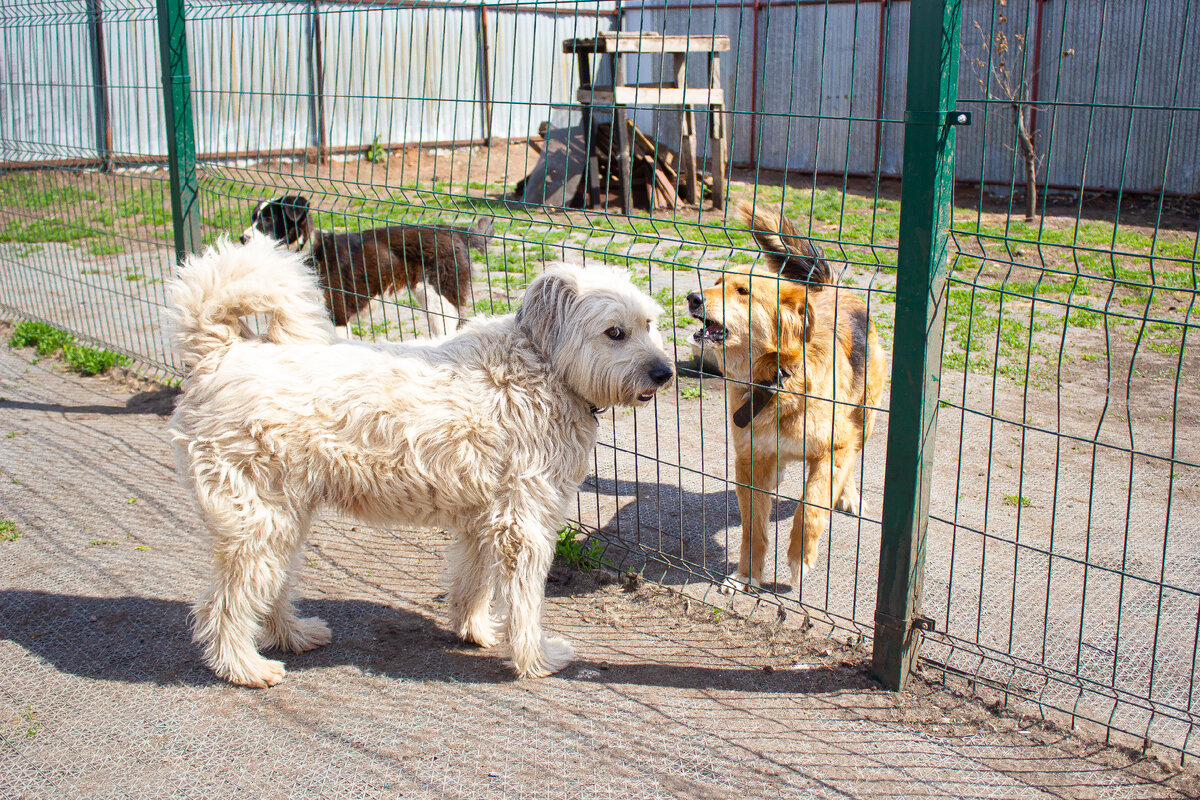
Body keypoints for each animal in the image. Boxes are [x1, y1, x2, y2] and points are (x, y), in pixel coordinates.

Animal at [169, 232, 676, 690]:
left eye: (650, 323)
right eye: (615, 332)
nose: (665, 373)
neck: (545, 366)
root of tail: (219, 352)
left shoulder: (484, 519)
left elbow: (473, 583)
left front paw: (475, 631)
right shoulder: (524, 522)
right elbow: (525, 601)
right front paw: (536, 659)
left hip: (283, 518)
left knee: (269, 587)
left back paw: (294, 635)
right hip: (256, 520)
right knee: (224, 604)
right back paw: (245, 668)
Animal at [243, 195, 492, 335]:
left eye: (268, 219)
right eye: (254, 217)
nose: (242, 238)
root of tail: (452, 229)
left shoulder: (337, 316)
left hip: (439, 298)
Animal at [686, 205, 892, 594]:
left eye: (743, 291)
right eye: (716, 283)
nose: (693, 297)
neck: (775, 381)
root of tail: (828, 288)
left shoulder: (833, 449)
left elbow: (810, 508)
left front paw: (799, 561)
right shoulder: (749, 461)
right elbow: (753, 528)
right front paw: (746, 575)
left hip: (865, 417)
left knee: (854, 453)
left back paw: (849, 495)